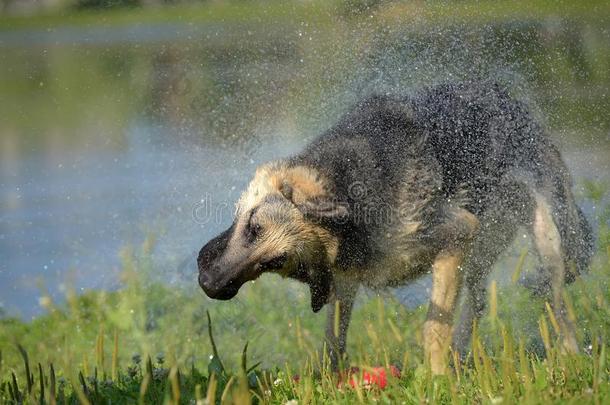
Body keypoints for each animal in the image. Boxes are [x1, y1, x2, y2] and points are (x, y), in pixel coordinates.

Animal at [197, 82, 592, 372]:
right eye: (252, 229)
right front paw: (330, 379)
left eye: (268, 255)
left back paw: (571, 360)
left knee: (558, 306)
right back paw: (464, 357)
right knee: (479, 302)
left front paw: (437, 380)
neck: (350, 192)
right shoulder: (345, 278)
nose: (209, 286)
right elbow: (334, 338)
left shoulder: (457, 233)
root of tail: (514, 104)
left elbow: (434, 325)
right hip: (484, 250)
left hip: (546, 241)